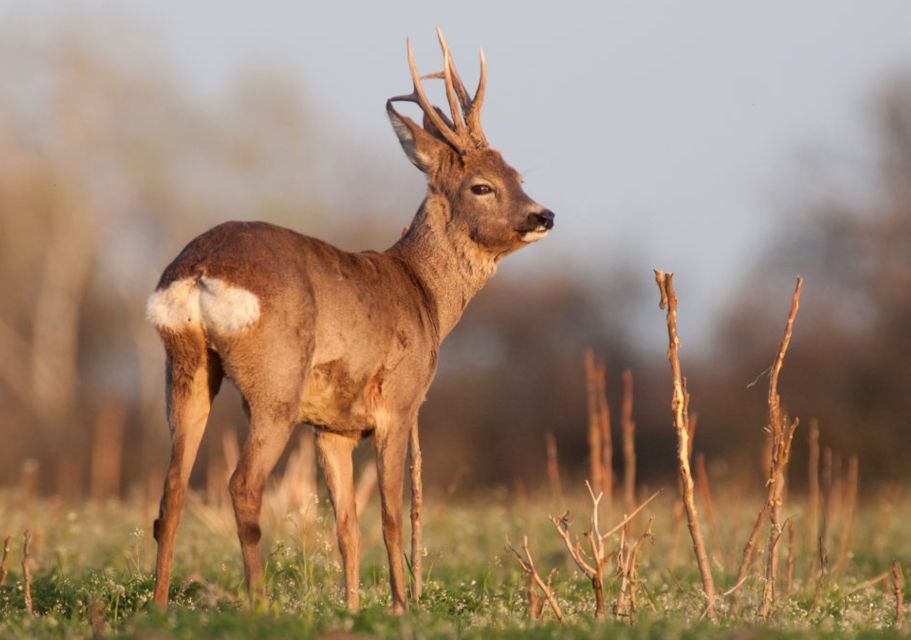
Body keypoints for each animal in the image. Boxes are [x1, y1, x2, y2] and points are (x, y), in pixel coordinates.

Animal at [146, 28, 552, 608]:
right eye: (481, 185)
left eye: (516, 175)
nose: (544, 215)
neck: (424, 294)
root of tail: (198, 269)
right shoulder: (399, 404)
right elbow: (390, 518)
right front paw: (402, 607)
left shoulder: (331, 427)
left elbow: (345, 527)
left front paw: (355, 607)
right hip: (275, 383)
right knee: (242, 486)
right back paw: (259, 606)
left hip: (185, 368)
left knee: (171, 492)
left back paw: (159, 606)